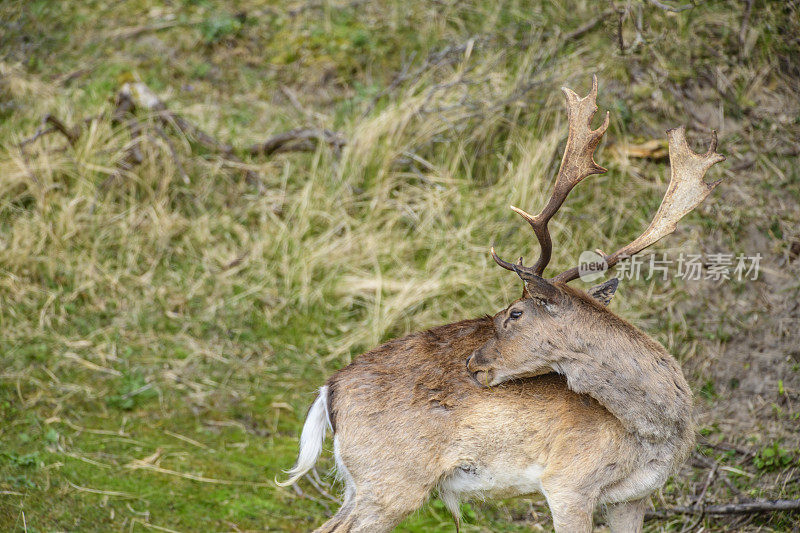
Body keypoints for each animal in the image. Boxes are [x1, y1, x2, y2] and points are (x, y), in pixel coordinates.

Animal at [280, 76, 724, 532]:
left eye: (513, 313)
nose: (474, 363)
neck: (654, 431)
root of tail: (328, 390)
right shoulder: (567, 482)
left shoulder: (634, 496)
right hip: (390, 480)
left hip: (362, 485)